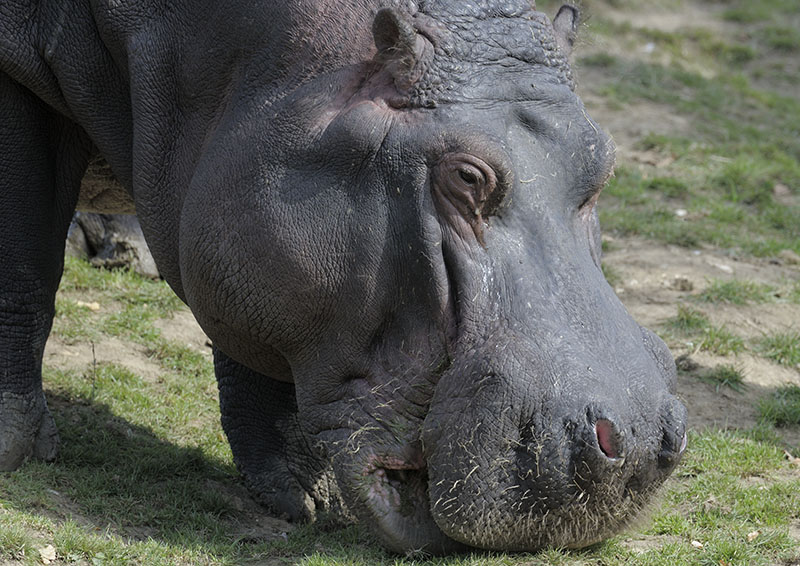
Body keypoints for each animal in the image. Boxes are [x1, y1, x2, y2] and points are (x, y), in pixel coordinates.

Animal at [0, 0, 688, 554]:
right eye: (466, 177)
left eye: (603, 160)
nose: (633, 441)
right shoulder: (15, 77)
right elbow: (24, 273)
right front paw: (18, 453)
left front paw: (304, 494)